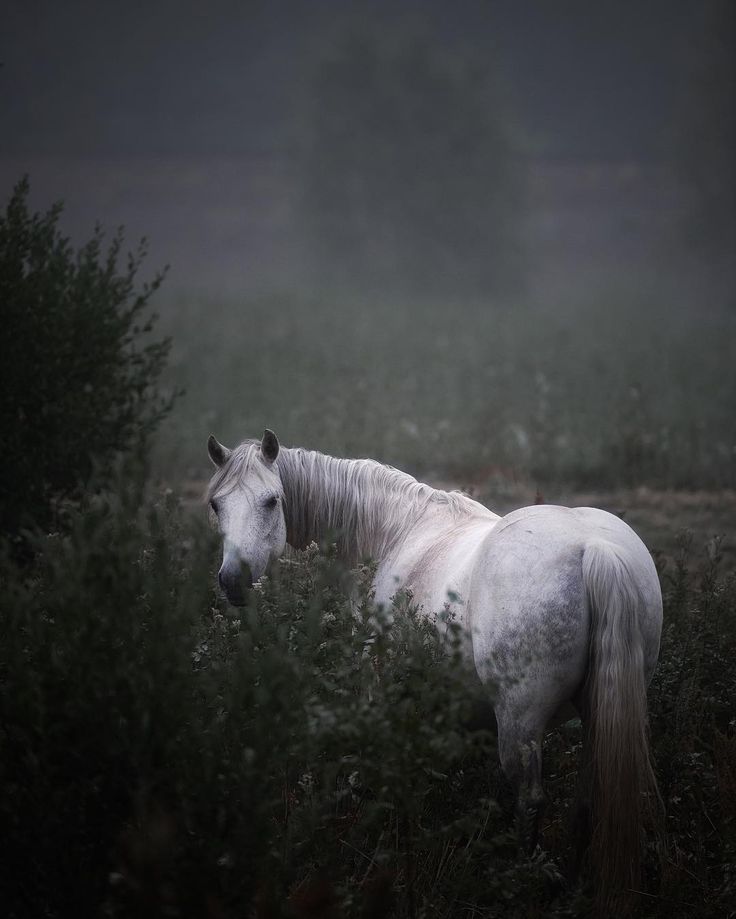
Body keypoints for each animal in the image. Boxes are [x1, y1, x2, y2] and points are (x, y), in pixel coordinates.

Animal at [206, 430, 660, 904]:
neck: (395, 532)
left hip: (521, 721)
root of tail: (595, 549)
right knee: (589, 799)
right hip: (597, 712)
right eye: (216, 504)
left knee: (530, 799)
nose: (233, 580)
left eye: (271, 501)